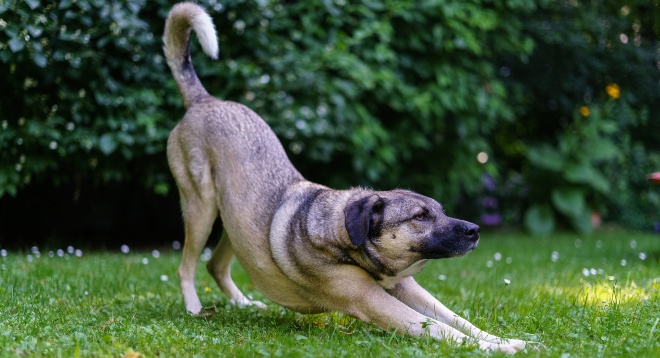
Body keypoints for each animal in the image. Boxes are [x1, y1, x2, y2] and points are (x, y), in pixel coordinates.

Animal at [164, 2, 524, 354]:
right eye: (420, 216)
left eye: (442, 211)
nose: (475, 230)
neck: (343, 231)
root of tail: (204, 100)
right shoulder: (372, 300)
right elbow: (440, 328)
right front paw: (497, 348)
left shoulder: (406, 287)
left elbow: (457, 319)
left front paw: (502, 339)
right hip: (201, 209)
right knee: (186, 266)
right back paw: (194, 308)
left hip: (232, 222)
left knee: (215, 265)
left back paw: (245, 304)